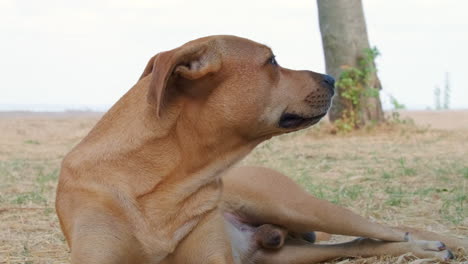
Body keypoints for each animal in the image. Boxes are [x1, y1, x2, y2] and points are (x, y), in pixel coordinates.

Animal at [54, 35, 464, 264]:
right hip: (283, 254)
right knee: (365, 241)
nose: (333, 77)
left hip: (295, 206)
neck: (165, 180)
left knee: (392, 228)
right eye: (272, 61)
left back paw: (433, 244)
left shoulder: (212, 257)